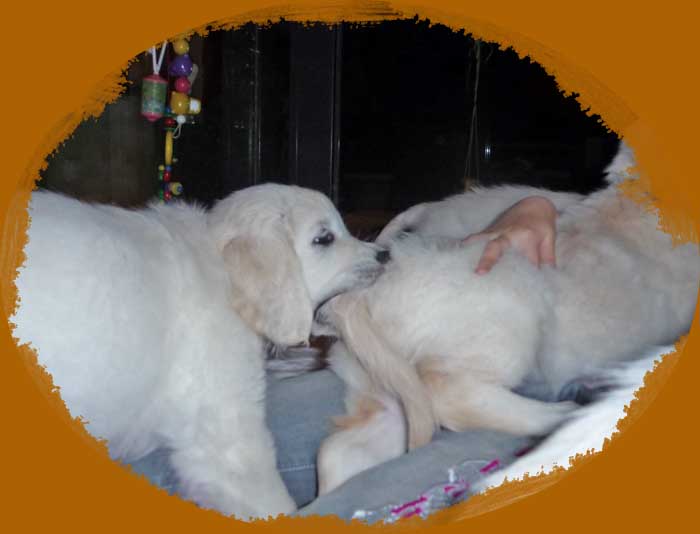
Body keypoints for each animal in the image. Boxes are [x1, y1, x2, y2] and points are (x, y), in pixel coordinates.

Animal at [313, 143, 700, 494]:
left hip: (384, 388)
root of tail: (362, 295)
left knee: (339, 451)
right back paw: (560, 415)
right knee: (450, 393)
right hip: (507, 318)